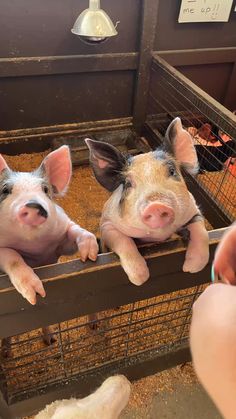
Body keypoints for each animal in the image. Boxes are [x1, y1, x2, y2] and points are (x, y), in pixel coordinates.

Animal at [0, 145, 97, 306]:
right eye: (5, 190)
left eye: (45, 189)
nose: (33, 205)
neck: (36, 244)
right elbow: (12, 257)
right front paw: (36, 296)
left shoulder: (62, 237)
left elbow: (75, 231)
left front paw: (90, 254)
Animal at [85, 117, 209, 286]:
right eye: (128, 183)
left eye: (172, 171)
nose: (156, 205)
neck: (157, 236)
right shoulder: (107, 224)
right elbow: (124, 242)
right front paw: (140, 279)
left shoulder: (193, 209)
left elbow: (201, 231)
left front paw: (191, 268)